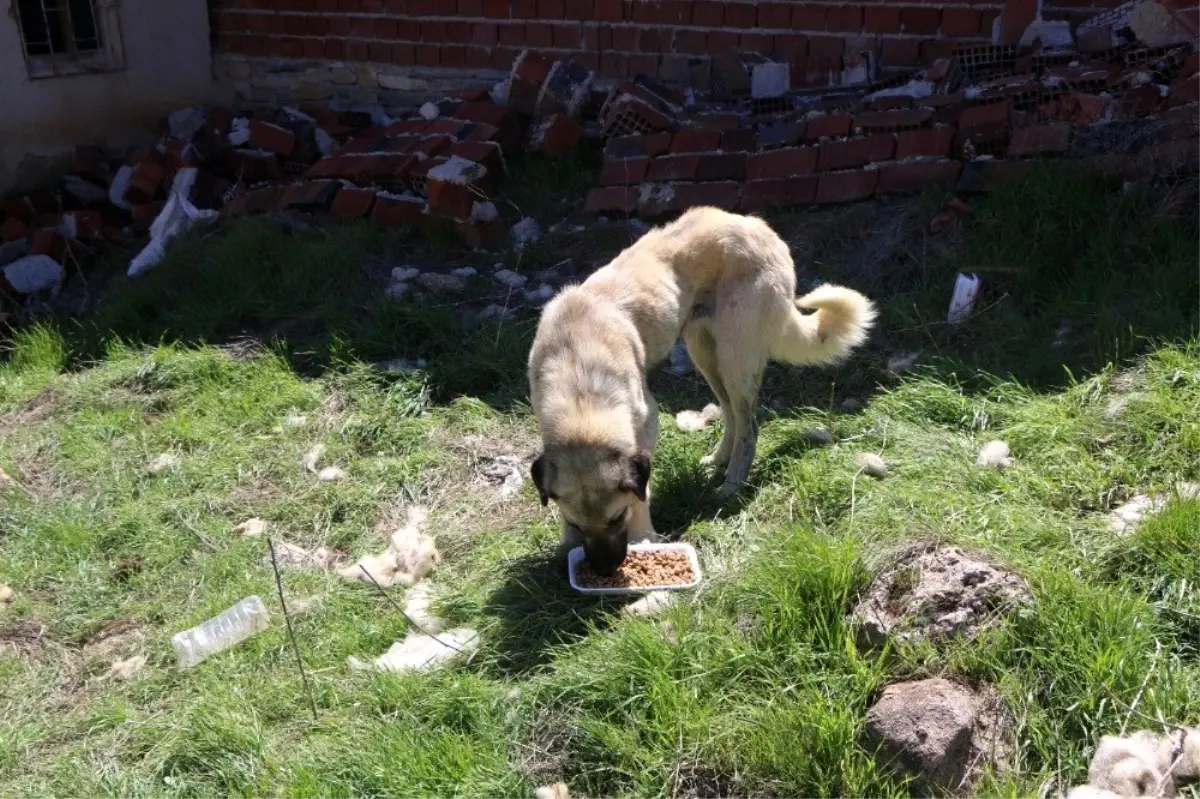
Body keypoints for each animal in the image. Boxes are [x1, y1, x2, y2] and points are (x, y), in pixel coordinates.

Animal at [530, 205, 878, 573]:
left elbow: (643, 494)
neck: (579, 380)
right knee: (731, 415)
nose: (605, 569)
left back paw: (732, 484)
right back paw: (718, 461)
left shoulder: (646, 425)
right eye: (579, 525)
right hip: (705, 353)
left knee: (750, 427)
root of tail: (756, 225)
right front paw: (567, 543)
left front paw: (645, 536)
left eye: (617, 518)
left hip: (734, 357)